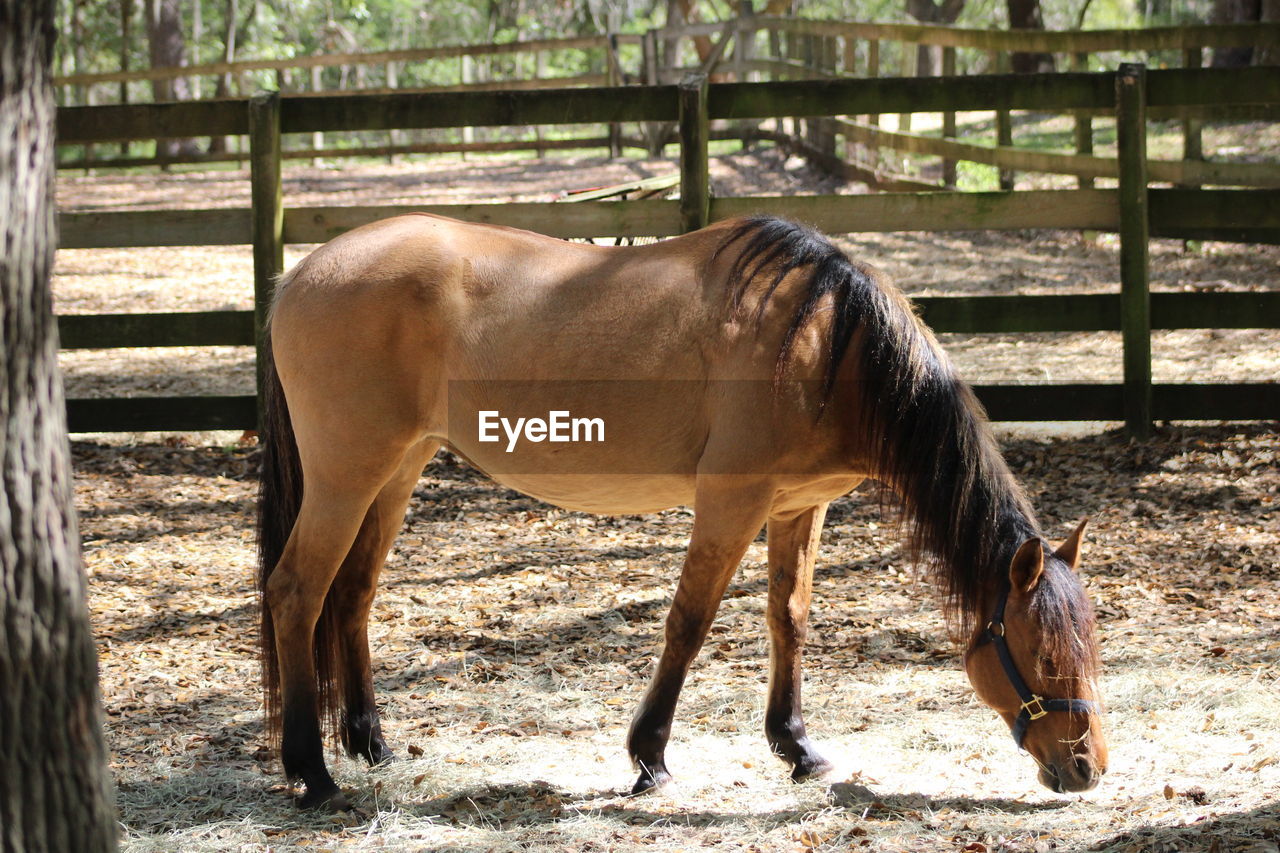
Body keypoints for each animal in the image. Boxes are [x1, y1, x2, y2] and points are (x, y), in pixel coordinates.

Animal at [254, 208, 1105, 809]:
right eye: (1045, 653)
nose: (1088, 765)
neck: (826, 341)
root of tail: (299, 279)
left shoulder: (798, 507)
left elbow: (788, 617)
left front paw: (797, 747)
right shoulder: (733, 497)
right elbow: (689, 622)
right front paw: (650, 757)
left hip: (395, 470)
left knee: (351, 593)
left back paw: (370, 743)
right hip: (347, 475)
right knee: (296, 592)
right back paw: (313, 771)